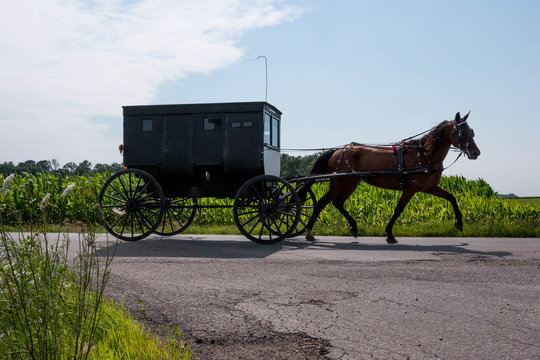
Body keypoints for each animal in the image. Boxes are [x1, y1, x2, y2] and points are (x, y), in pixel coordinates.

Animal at [300, 111, 480, 243]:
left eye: (471, 131)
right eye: (462, 132)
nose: (476, 153)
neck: (425, 154)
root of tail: (337, 150)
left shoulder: (429, 187)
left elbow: (451, 197)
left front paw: (459, 223)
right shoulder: (411, 188)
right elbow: (399, 209)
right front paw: (390, 234)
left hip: (339, 183)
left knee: (324, 203)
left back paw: (312, 231)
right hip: (348, 182)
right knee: (336, 202)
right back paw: (349, 227)